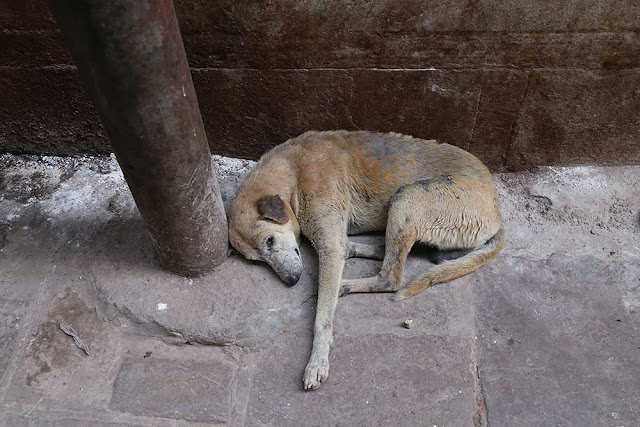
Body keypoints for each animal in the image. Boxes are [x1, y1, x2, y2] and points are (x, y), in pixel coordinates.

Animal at [228, 130, 502, 392]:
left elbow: (322, 320)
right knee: (385, 252)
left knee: (391, 277)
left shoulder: (329, 243)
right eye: (256, 260)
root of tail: (498, 215)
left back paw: (345, 285)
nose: (291, 280)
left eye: (270, 241)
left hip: (408, 198)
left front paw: (317, 361)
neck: (293, 170)